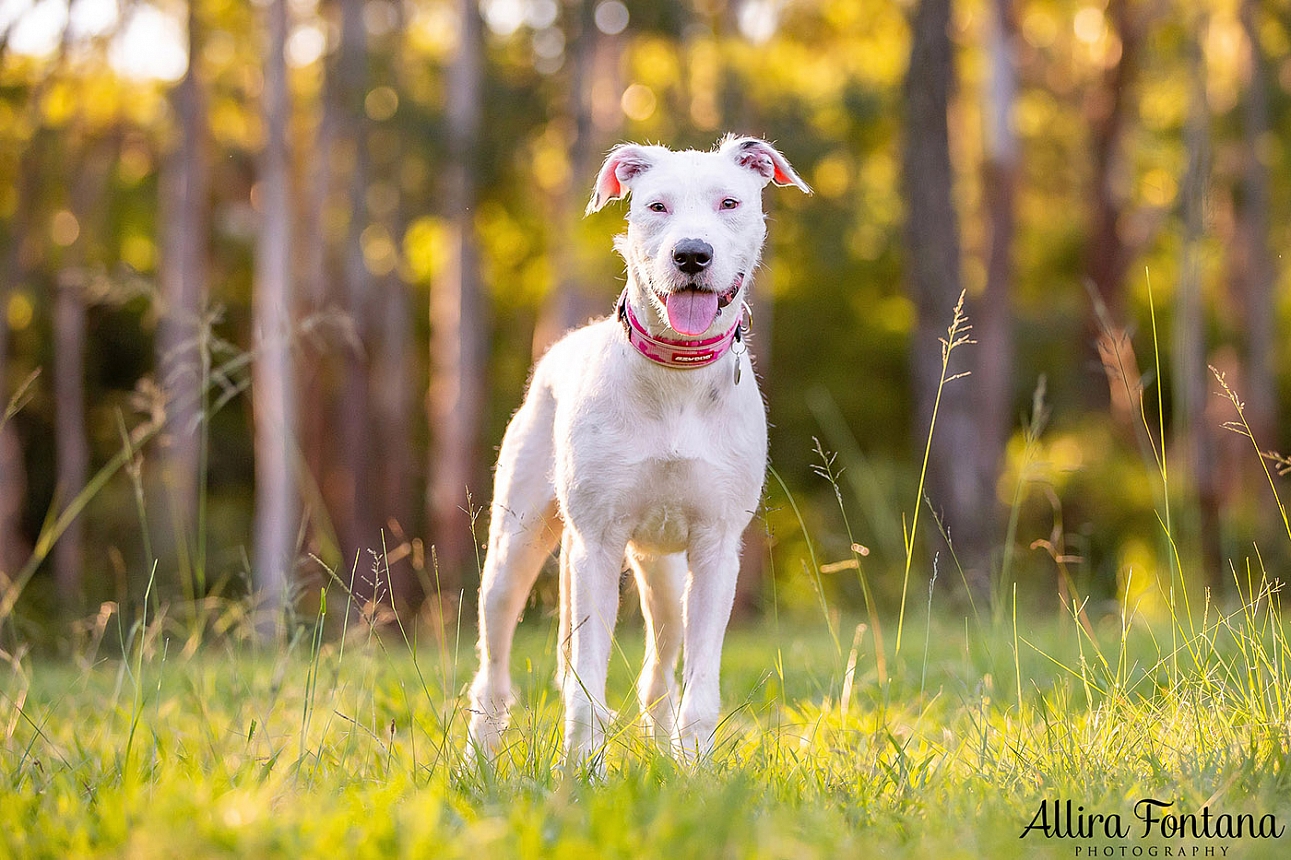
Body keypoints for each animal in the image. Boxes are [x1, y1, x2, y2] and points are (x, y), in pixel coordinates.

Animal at [464, 137, 805, 764]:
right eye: (656, 206)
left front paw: (695, 772)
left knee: (658, 673)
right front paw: (583, 772)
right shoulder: (596, 545)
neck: (676, 376)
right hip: (514, 551)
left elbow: (699, 687)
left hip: (665, 576)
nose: (692, 255)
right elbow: (585, 687)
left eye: (729, 202)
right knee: (493, 673)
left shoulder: (717, 550)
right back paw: (479, 761)